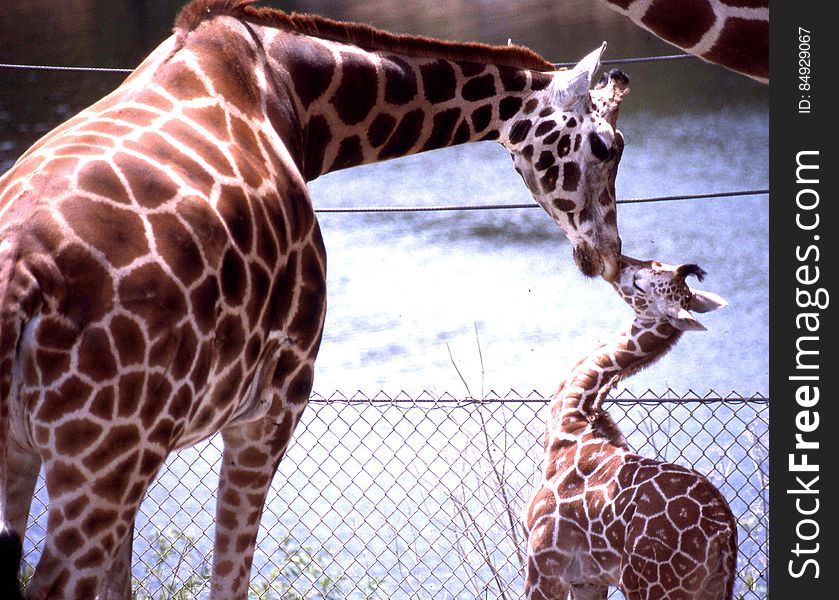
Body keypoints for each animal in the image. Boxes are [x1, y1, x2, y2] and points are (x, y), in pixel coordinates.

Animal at [0, 1, 632, 600]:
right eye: (607, 145)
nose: (607, 254)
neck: (294, 93)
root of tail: (20, 276)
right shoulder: (273, 406)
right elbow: (228, 582)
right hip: (108, 455)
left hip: (53, 450)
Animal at [520, 256, 740, 600]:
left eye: (640, 283)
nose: (620, 262)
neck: (569, 426)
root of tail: (723, 532)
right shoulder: (587, 580)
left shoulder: (543, 562)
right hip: (712, 587)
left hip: (651, 584)